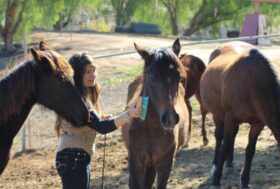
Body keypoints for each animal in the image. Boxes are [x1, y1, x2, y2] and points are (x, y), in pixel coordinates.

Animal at [121, 39, 189, 188]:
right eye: (152, 77)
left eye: (179, 77)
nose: (170, 119)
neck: (151, 129)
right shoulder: (136, 162)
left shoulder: (165, 163)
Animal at [200, 41, 280, 188]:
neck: (253, 83)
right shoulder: (230, 118)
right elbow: (224, 146)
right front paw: (216, 181)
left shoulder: (258, 123)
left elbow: (250, 151)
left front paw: (245, 182)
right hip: (217, 115)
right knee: (220, 137)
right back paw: (215, 167)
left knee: (232, 136)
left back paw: (229, 164)